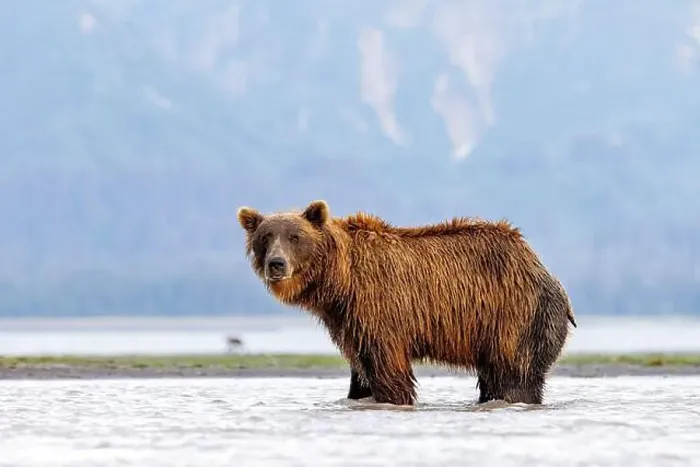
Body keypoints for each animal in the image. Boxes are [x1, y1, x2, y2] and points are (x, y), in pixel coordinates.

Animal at [236, 200, 577, 406]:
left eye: (295, 237)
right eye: (266, 237)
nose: (277, 264)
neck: (340, 281)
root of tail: (540, 265)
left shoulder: (379, 308)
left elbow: (387, 368)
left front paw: (392, 398)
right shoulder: (348, 322)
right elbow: (360, 369)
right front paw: (359, 394)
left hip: (515, 318)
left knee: (515, 376)